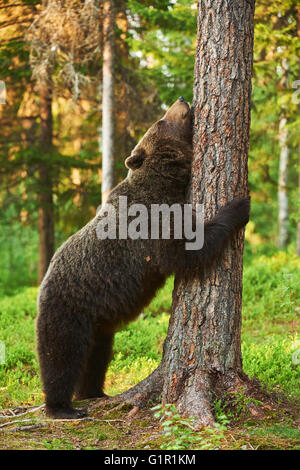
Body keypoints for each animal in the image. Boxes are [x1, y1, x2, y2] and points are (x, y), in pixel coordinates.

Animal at [36, 98, 250, 418]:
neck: (164, 183)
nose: (181, 100)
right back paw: (62, 407)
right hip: (68, 308)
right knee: (61, 356)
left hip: (98, 321)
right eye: (161, 121)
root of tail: (43, 282)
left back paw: (94, 392)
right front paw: (239, 206)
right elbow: (186, 252)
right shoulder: (152, 223)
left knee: (97, 355)